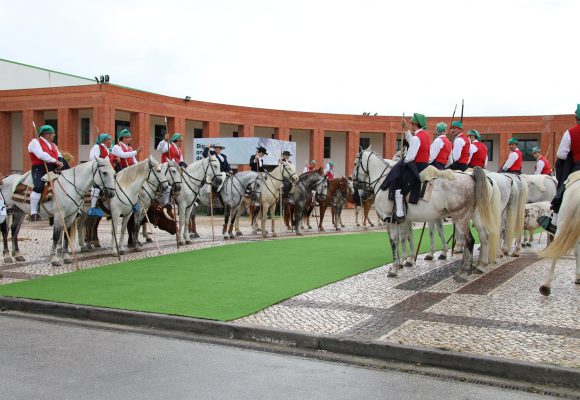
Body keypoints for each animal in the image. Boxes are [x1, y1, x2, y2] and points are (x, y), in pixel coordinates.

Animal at [354, 148, 498, 282]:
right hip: (475, 216)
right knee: (483, 236)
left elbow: (395, 242)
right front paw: (406, 260)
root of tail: (471, 176)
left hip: (460, 217)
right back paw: (479, 265)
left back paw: (464, 272)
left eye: (355, 163)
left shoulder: (389, 220)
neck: (385, 181)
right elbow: (407, 237)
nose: (358, 189)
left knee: (470, 240)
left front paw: (395, 267)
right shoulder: (405, 220)